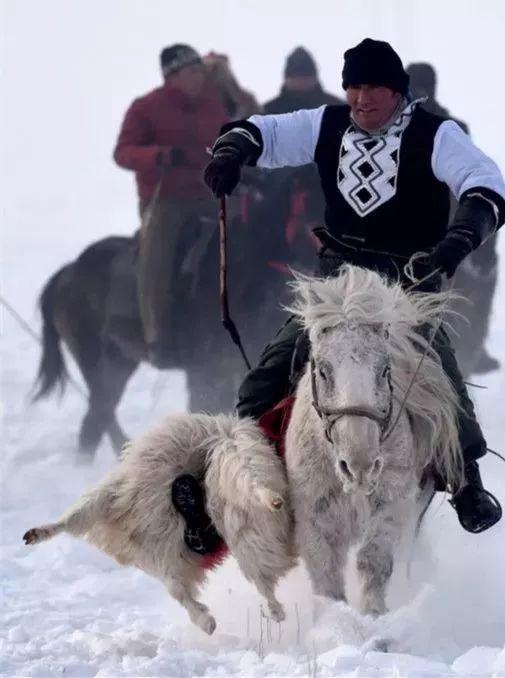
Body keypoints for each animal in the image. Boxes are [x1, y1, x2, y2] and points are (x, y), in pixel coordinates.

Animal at [282, 266, 462, 620]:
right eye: (323, 370)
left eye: (384, 369)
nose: (360, 466)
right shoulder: (312, 516)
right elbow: (326, 577)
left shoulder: (392, 503)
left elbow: (374, 561)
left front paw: (373, 618)